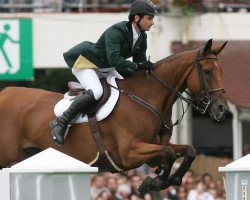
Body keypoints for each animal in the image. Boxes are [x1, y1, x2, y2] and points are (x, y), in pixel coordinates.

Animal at [0, 39, 229, 195]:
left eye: (221, 72)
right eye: (207, 72)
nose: (222, 110)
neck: (146, 98)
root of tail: (5, 93)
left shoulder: (154, 148)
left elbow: (186, 151)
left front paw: (160, 181)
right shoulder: (130, 153)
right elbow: (170, 154)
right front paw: (153, 183)